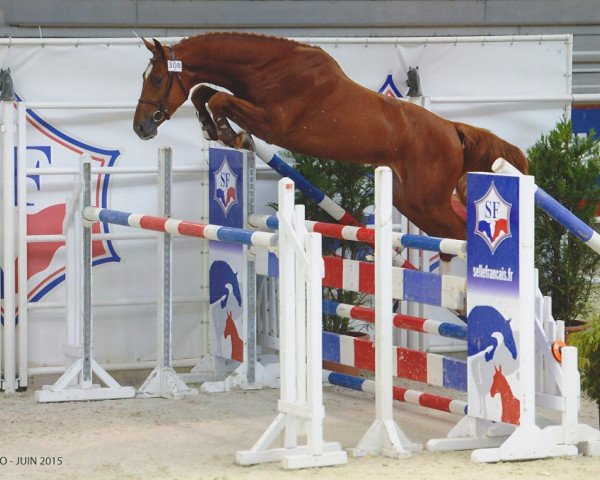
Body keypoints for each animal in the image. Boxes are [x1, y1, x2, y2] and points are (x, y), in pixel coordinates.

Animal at [134, 31, 528, 240]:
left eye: (157, 79)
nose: (141, 126)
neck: (269, 68)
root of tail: (451, 130)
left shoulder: (274, 123)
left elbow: (218, 97)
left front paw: (228, 133)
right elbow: (204, 91)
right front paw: (211, 126)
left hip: (427, 201)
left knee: (460, 234)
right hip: (412, 201)